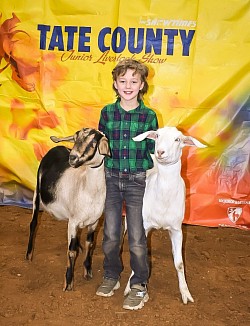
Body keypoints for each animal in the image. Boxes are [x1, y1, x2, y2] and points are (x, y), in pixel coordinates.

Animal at [25, 127, 111, 290]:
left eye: (93, 142)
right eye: (75, 139)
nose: (72, 158)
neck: (87, 188)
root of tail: (57, 148)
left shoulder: (94, 222)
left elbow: (90, 244)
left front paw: (87, 271)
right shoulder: (74, 222)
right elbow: (71, 252)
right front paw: (68, 283)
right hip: (37, 195)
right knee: (33, 224)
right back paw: (28, 256)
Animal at [124, 126, 206, 304]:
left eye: (177, 139)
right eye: (157, 135)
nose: (160, 151)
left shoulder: (177, 230)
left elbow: (180, 263)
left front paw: (185, 293)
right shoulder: (144, 225)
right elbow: (138, 254)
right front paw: (130, 287)